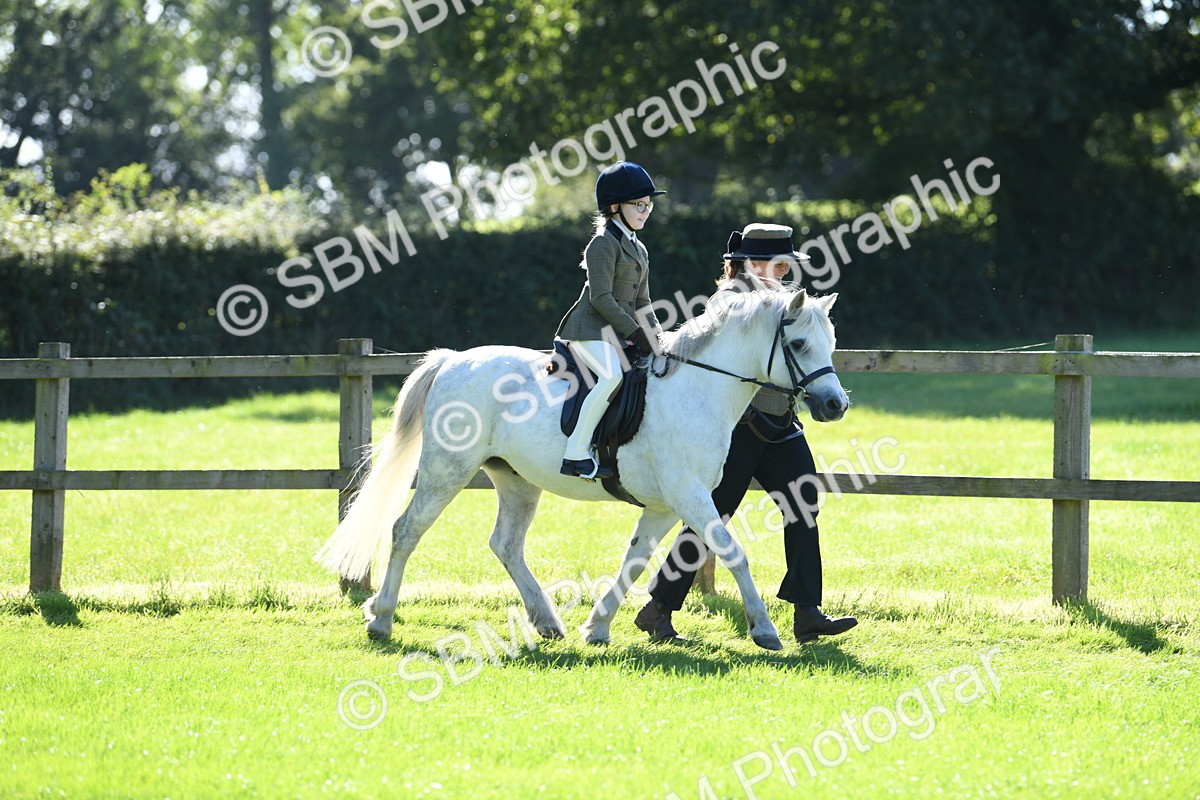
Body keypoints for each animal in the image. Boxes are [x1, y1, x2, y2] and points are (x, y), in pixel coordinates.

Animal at [316, 286, 849, 651]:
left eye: (830, 342)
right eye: (799, 345)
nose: (835, 405)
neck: (698, 389)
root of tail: (452, 362)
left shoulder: (664, 505)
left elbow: (635, 560)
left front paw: (597, 626)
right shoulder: (689, 495)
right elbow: (733, 552)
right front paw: (765, 629)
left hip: (515, 480)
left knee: (505, 544)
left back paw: (547, 621)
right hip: (447, 470)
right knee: (407, 530)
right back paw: (381, 618)